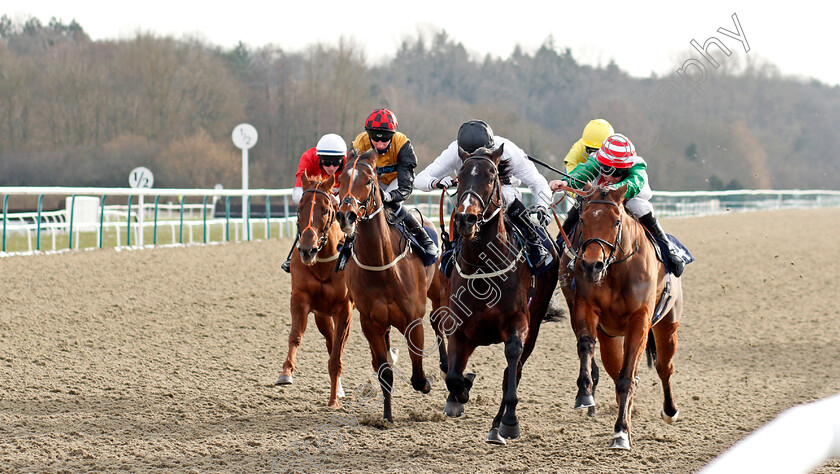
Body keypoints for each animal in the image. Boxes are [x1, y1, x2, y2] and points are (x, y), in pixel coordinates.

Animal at [276, 172, 352, 410]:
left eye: (326, 210)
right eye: (299, 208)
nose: (307, 250)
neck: (322, 264)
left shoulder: (344, 309)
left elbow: (337, 355)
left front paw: (333, 400)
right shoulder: (301, 299)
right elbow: (295, 335)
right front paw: (286, 372)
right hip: (322, 316)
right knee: (330, 341)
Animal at [334, 149, 446, 422]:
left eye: (368, 181)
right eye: (340, 179)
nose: (346, 215)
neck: (383, 265)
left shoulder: (413, 320)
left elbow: (418, 374)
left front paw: (427, 382)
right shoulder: (371, 323)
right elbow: (384, 371)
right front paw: (386, 417)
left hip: (437, 290)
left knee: (439, 320)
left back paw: (446, 368)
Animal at [442, 143, 560, 444]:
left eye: (491, 175)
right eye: (460, 176)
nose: (466, 218)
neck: (484, 267)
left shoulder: (519, 322)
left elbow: (512, 361)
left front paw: (509, 421)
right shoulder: (460, 327)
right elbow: (454, 376)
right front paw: (460, 393)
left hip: (535, 324)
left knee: (514, 369)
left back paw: (500, 424)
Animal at [556, 183, 684, 450]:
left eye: (616, 221)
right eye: (582, 219)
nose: (592, 265)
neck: (616, 269)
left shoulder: (640, 321)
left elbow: (628, 377)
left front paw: (621, 432)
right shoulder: (586, 308)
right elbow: (586, 346)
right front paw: (584, 394)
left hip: (669, 325)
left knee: (664, 367)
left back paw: (669, 411)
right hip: (611, 338)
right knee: (616, 369)